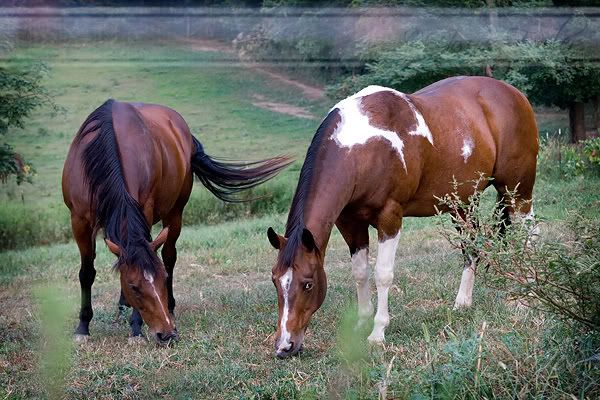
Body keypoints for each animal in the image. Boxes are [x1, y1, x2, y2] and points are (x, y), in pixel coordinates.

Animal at [63, 99, 290, 344]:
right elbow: (87, 272)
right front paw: (83, 327)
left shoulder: (145, 210)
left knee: (169, 255)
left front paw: (136, 328)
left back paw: (169, 307)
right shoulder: (79, 220)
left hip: (175, 212)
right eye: (134, 287)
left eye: (162, 280)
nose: (167, 334)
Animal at [268, 76, 540, 358]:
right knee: (472, 246)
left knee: (530, 236)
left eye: (308, 284)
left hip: (518, 192)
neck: (362, 148)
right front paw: (362, 322)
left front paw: (378, 332)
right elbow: (360, 272)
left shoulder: (390, 218)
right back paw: (462, 303)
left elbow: (383, 274)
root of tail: (515, 94)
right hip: (462, 205)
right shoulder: (349, 223)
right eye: (275, 281)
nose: (285, 346)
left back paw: (527, 299)